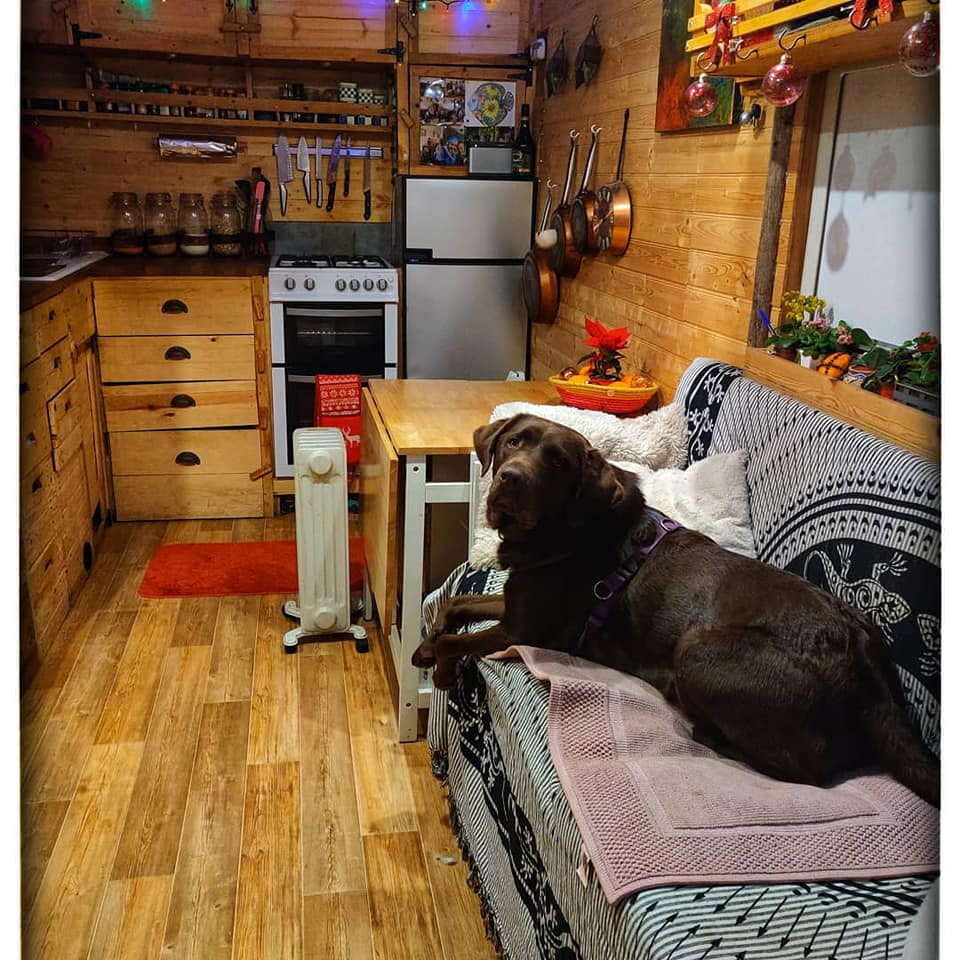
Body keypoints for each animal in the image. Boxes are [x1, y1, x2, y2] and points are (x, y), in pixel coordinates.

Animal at [412, 414, 940, 807]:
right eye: (513, 442)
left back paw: (708, 732)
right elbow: (455, 604)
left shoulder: (524, 628)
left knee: (808, 764)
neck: (569, 528)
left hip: (699, 647)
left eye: (558, 462)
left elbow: (457, 639)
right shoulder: (515, 602)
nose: (511, 478)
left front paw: (440, 668)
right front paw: (424, 647)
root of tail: (868, 658)